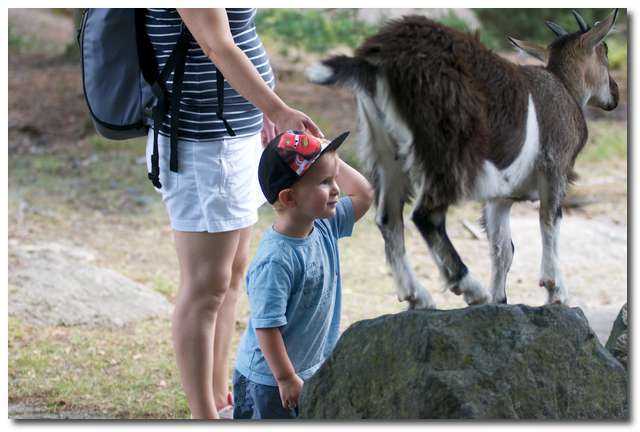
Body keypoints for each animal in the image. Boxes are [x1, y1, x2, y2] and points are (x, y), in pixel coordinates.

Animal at [308, 9, 616, 308]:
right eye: (605, 50)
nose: (614, 94)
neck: (563, 89)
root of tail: (378, 58)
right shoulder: (554, 166)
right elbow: (549, 221)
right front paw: (555, 291)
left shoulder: (500, 197)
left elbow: (503, 248)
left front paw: (500, 300)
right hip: (448, 148)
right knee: (426, 215)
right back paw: (470, 288)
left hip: (385, 150)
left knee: (388, 217)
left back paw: (418, 296)